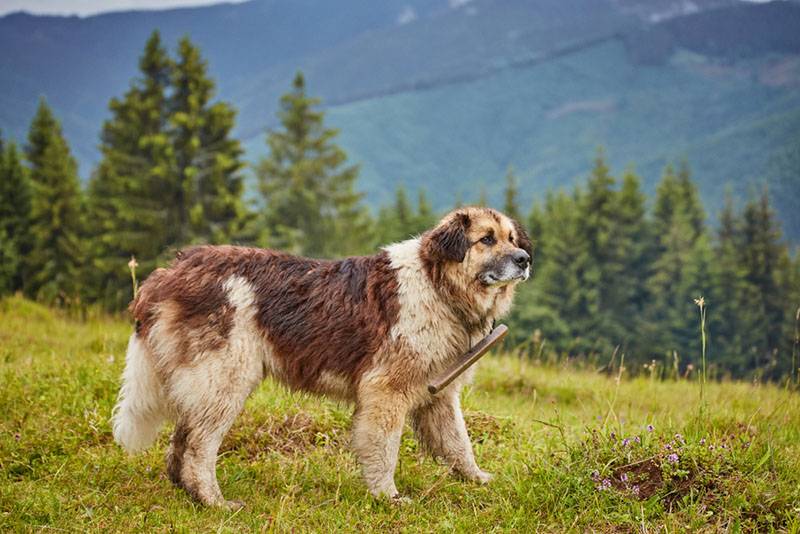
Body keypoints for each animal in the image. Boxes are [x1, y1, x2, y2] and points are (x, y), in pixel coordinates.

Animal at [111, 207, 532, 508]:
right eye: (486, 239)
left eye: (511, 238)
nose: (524, 259)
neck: (437, 285)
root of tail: (171, 270)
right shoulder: (386, 393)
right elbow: (384, 449)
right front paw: (388, 497)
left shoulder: (439, 395)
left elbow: (458, 444)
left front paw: (479, 480)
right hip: (224, 381)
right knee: (198, 447)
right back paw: (214, 502)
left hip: (208, 384)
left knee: (180, 443)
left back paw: (191, 496)